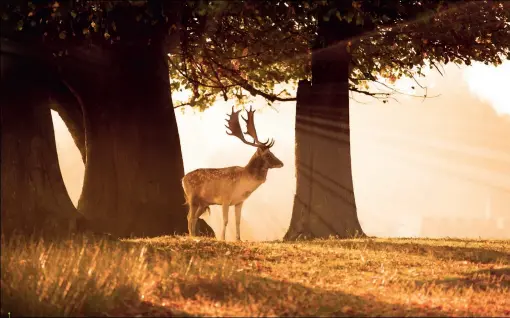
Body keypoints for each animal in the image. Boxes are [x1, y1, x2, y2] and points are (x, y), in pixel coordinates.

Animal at [182, 105, 286, 240]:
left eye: (272, 153)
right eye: (268, 155)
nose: (281, 163)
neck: (243, 183)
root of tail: (183, 179)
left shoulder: (239, 202)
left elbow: (238, 221)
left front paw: (238, 239)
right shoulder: (225, 198)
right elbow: (225, 220)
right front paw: (223, 238)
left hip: (203, 203)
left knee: (194, 217)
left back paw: (194, 235)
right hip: (192, 197)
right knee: (189, 217)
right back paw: (192, 236)